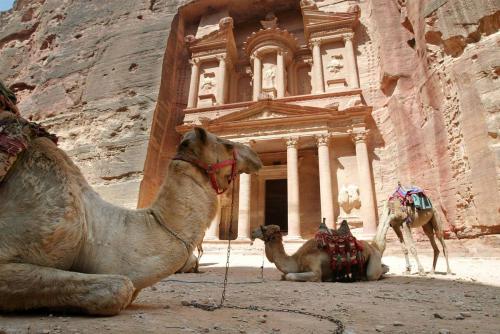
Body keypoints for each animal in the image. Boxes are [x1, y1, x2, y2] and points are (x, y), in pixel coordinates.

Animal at [252, 223, 388, 284]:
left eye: (263, 228)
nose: (252, 232)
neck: (297, 260)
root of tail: (373, 247)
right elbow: (283, 275)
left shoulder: (315, 269)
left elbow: (290, 276)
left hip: (373, 257)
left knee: (372, 274)